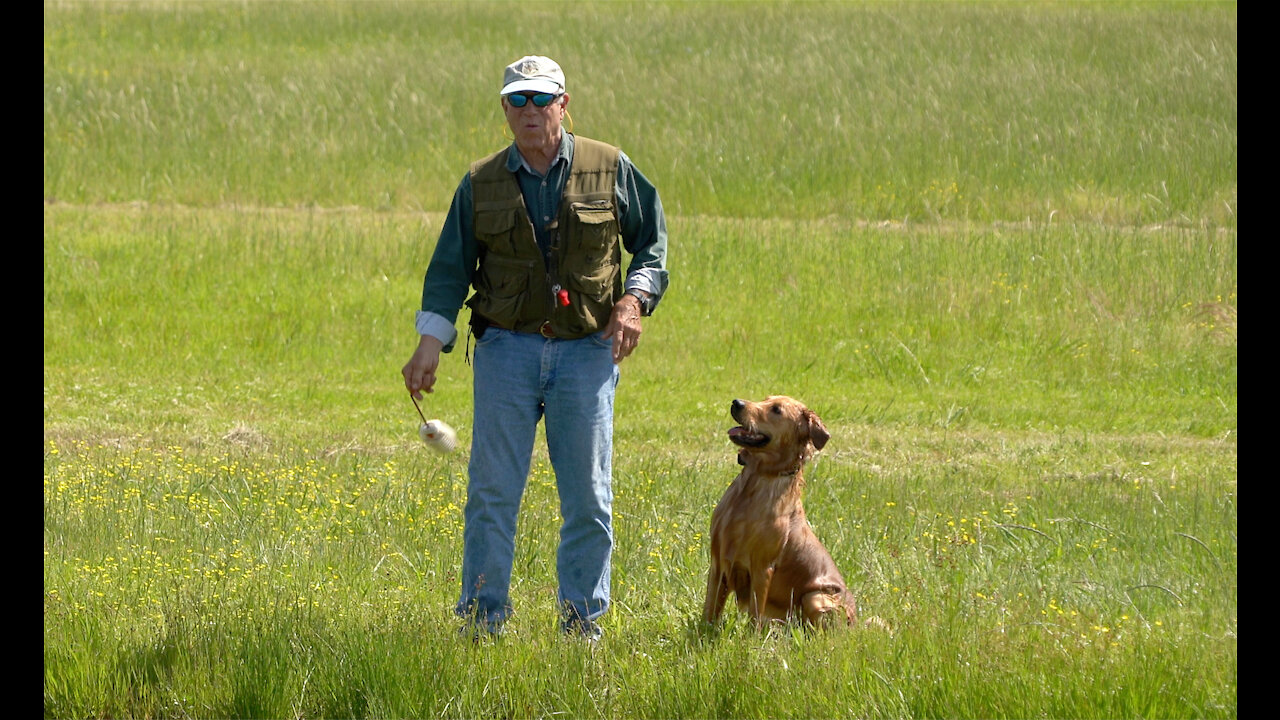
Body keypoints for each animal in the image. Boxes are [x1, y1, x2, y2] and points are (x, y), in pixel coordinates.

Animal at [701, 394, 860, 625]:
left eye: (776, 410)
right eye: (765, 399)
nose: (736, 403)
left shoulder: (762, 568)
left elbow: (755, 616)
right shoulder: (717, 561)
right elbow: (709, 610)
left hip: (816, 597)